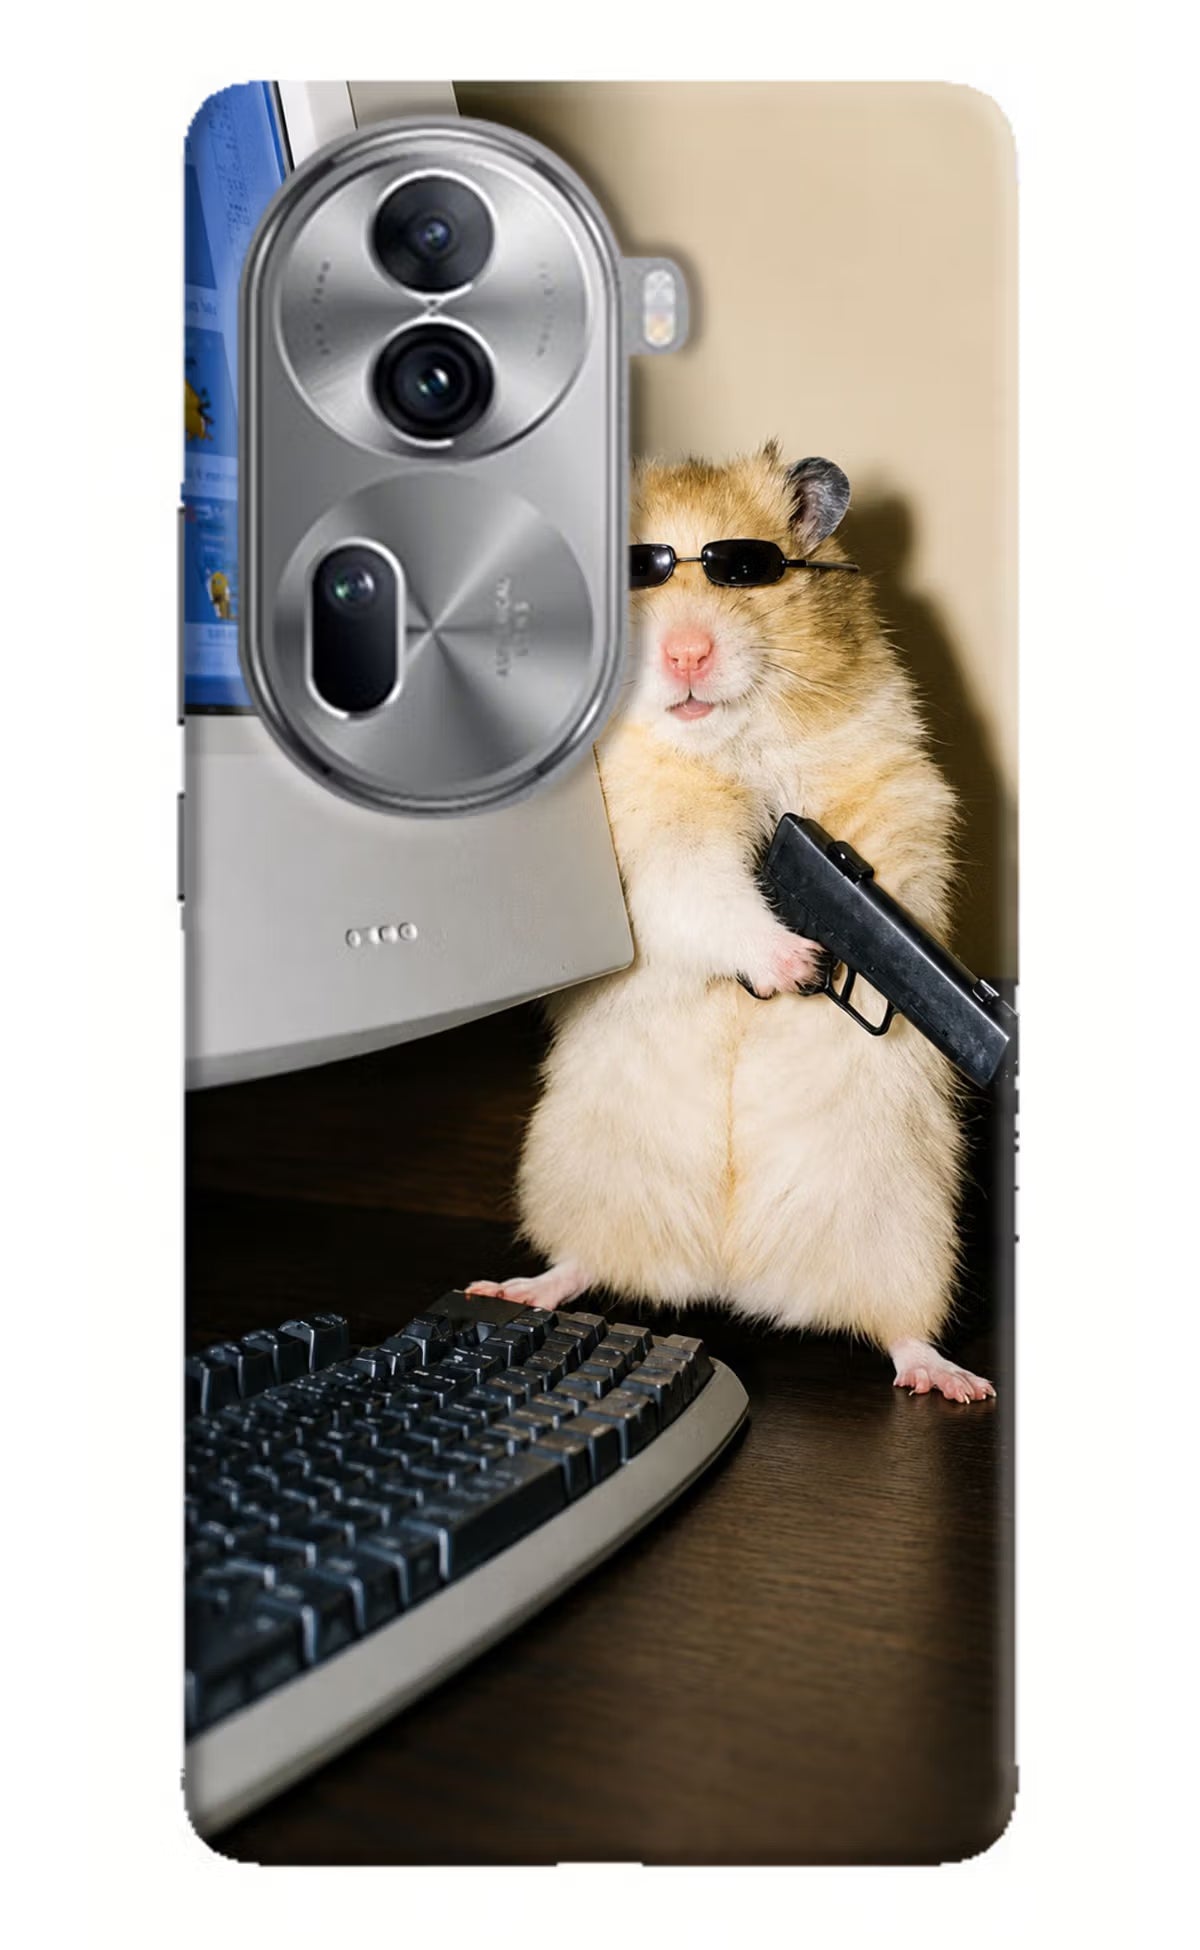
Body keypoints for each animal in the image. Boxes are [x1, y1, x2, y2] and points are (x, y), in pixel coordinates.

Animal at [469, 444, 994, 1402]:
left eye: (746, 571)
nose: (686, 653)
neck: (725, 745)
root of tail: (731, 1276)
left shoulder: (895, 787)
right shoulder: (653, 854)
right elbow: (707, 895)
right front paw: (797, 964)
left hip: (908, 1228)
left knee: (900, 1328)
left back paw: (954, 1381)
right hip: (580, 1175)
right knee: (583, 1262)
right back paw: (515, 1288)